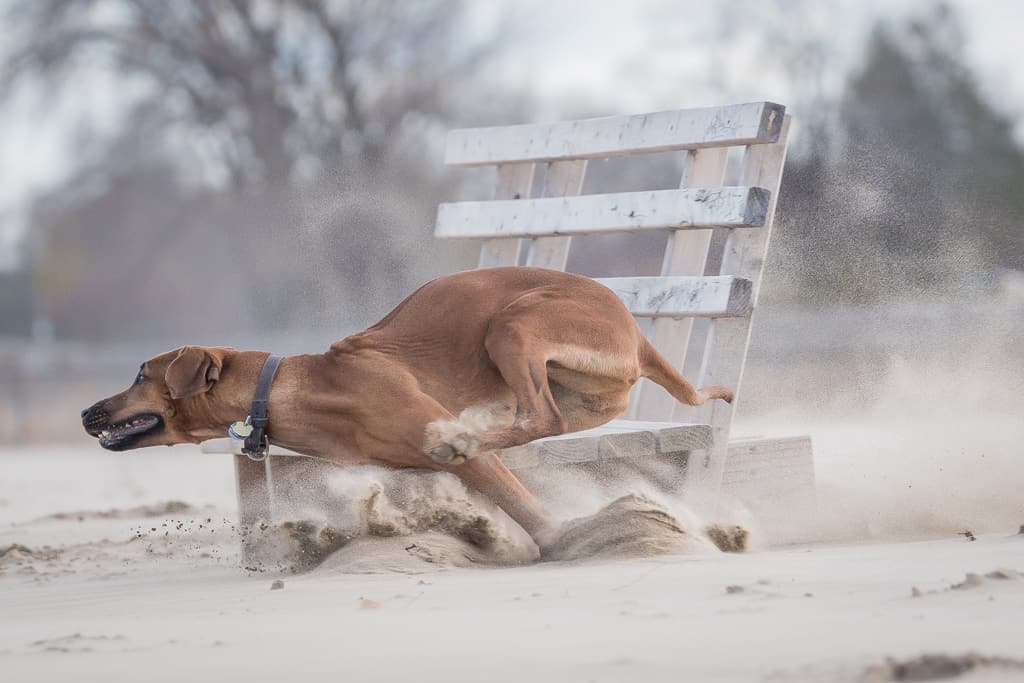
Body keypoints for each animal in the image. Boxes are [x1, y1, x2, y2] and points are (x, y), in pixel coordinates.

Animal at [83, 266, 733, 544]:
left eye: (140, 374)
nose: (87, 412)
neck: (291, 389)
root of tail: (638, 334)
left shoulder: (464, 458)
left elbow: (524, 505)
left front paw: (562, 536)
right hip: (576, 389)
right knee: (539, 419)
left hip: (515, 322)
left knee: (533, 418)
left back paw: (464, 433)